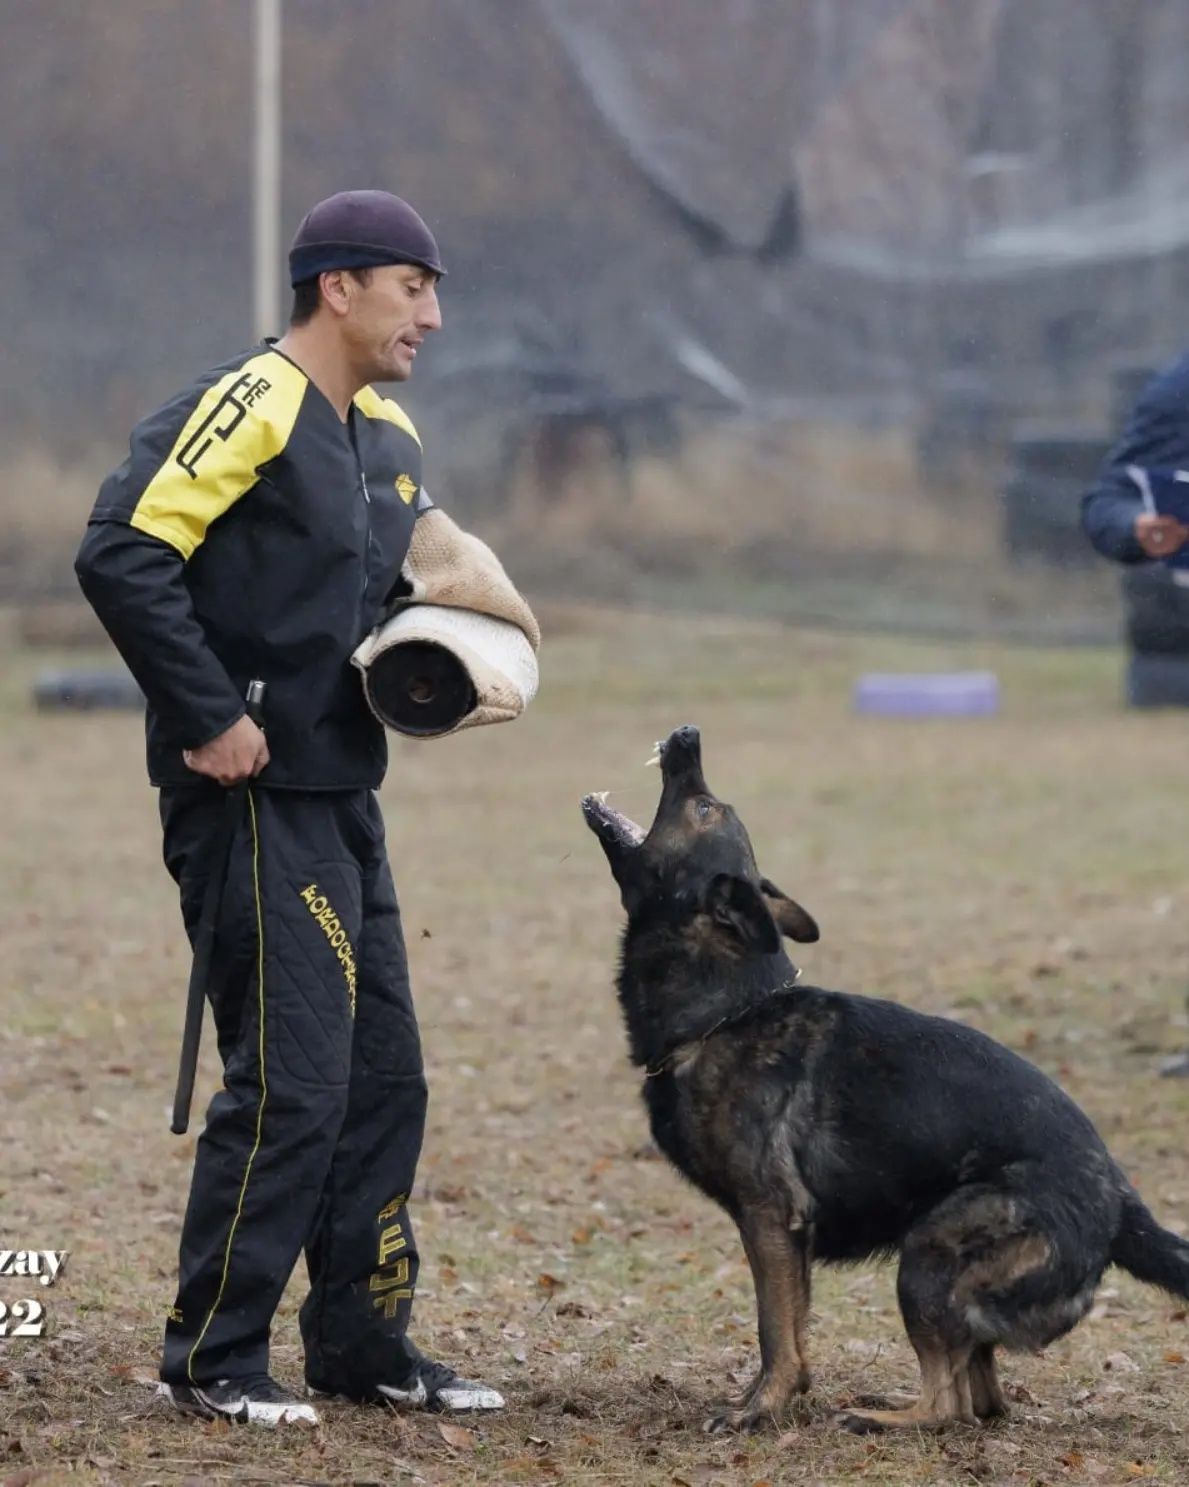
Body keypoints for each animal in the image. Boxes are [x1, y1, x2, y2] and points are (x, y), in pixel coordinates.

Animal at [579, 725, 1189, 1433]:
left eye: (706, 809)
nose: (687, 735)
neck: (729, 1008)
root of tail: (1119, 1200)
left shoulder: (770, 1218)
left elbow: (773, 1329)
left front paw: (758, 1409)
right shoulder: (788, 1237)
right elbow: (793, 1326)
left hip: (926, 1257)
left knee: (950, 1404)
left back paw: (881, 1418)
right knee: (984, 1399)